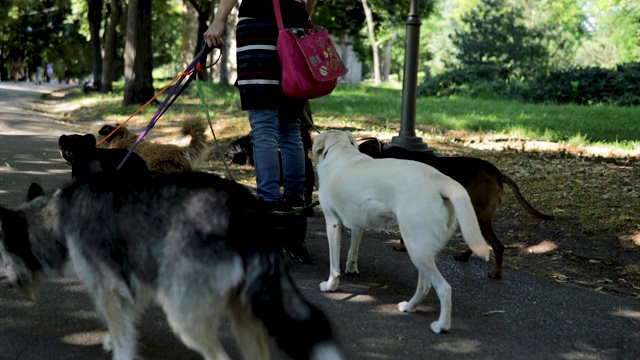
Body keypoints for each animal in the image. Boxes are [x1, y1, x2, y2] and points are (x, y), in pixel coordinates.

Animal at [312, 131, 490, 334]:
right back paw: (409, 307)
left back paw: (441, 326)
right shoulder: (358, 223)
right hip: (423, 251)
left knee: (444, 289)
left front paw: (330, 286)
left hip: (416, 248)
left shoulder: (332, 224)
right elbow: (353, 251)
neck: (340, 150)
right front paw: (351, 268)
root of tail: (439, 179)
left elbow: (334, 265)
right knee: (425, 286)